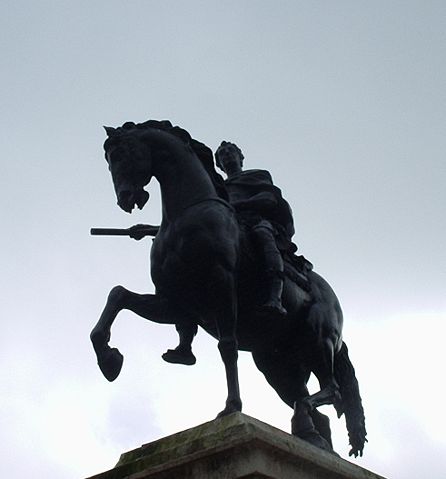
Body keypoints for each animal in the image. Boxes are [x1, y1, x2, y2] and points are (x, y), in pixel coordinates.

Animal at [89, 120, 366, 458]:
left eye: (123, 154)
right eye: (108, 159)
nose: (125, 199)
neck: (185, 215)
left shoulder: (221, 288)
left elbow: (228, 347)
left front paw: (231, 408)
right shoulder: (174, 304)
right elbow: (118, 296)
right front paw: (109, 359)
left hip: (317, 339)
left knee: (331, 391)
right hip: (277, 364)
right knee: (313, 405)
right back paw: (312, 438)